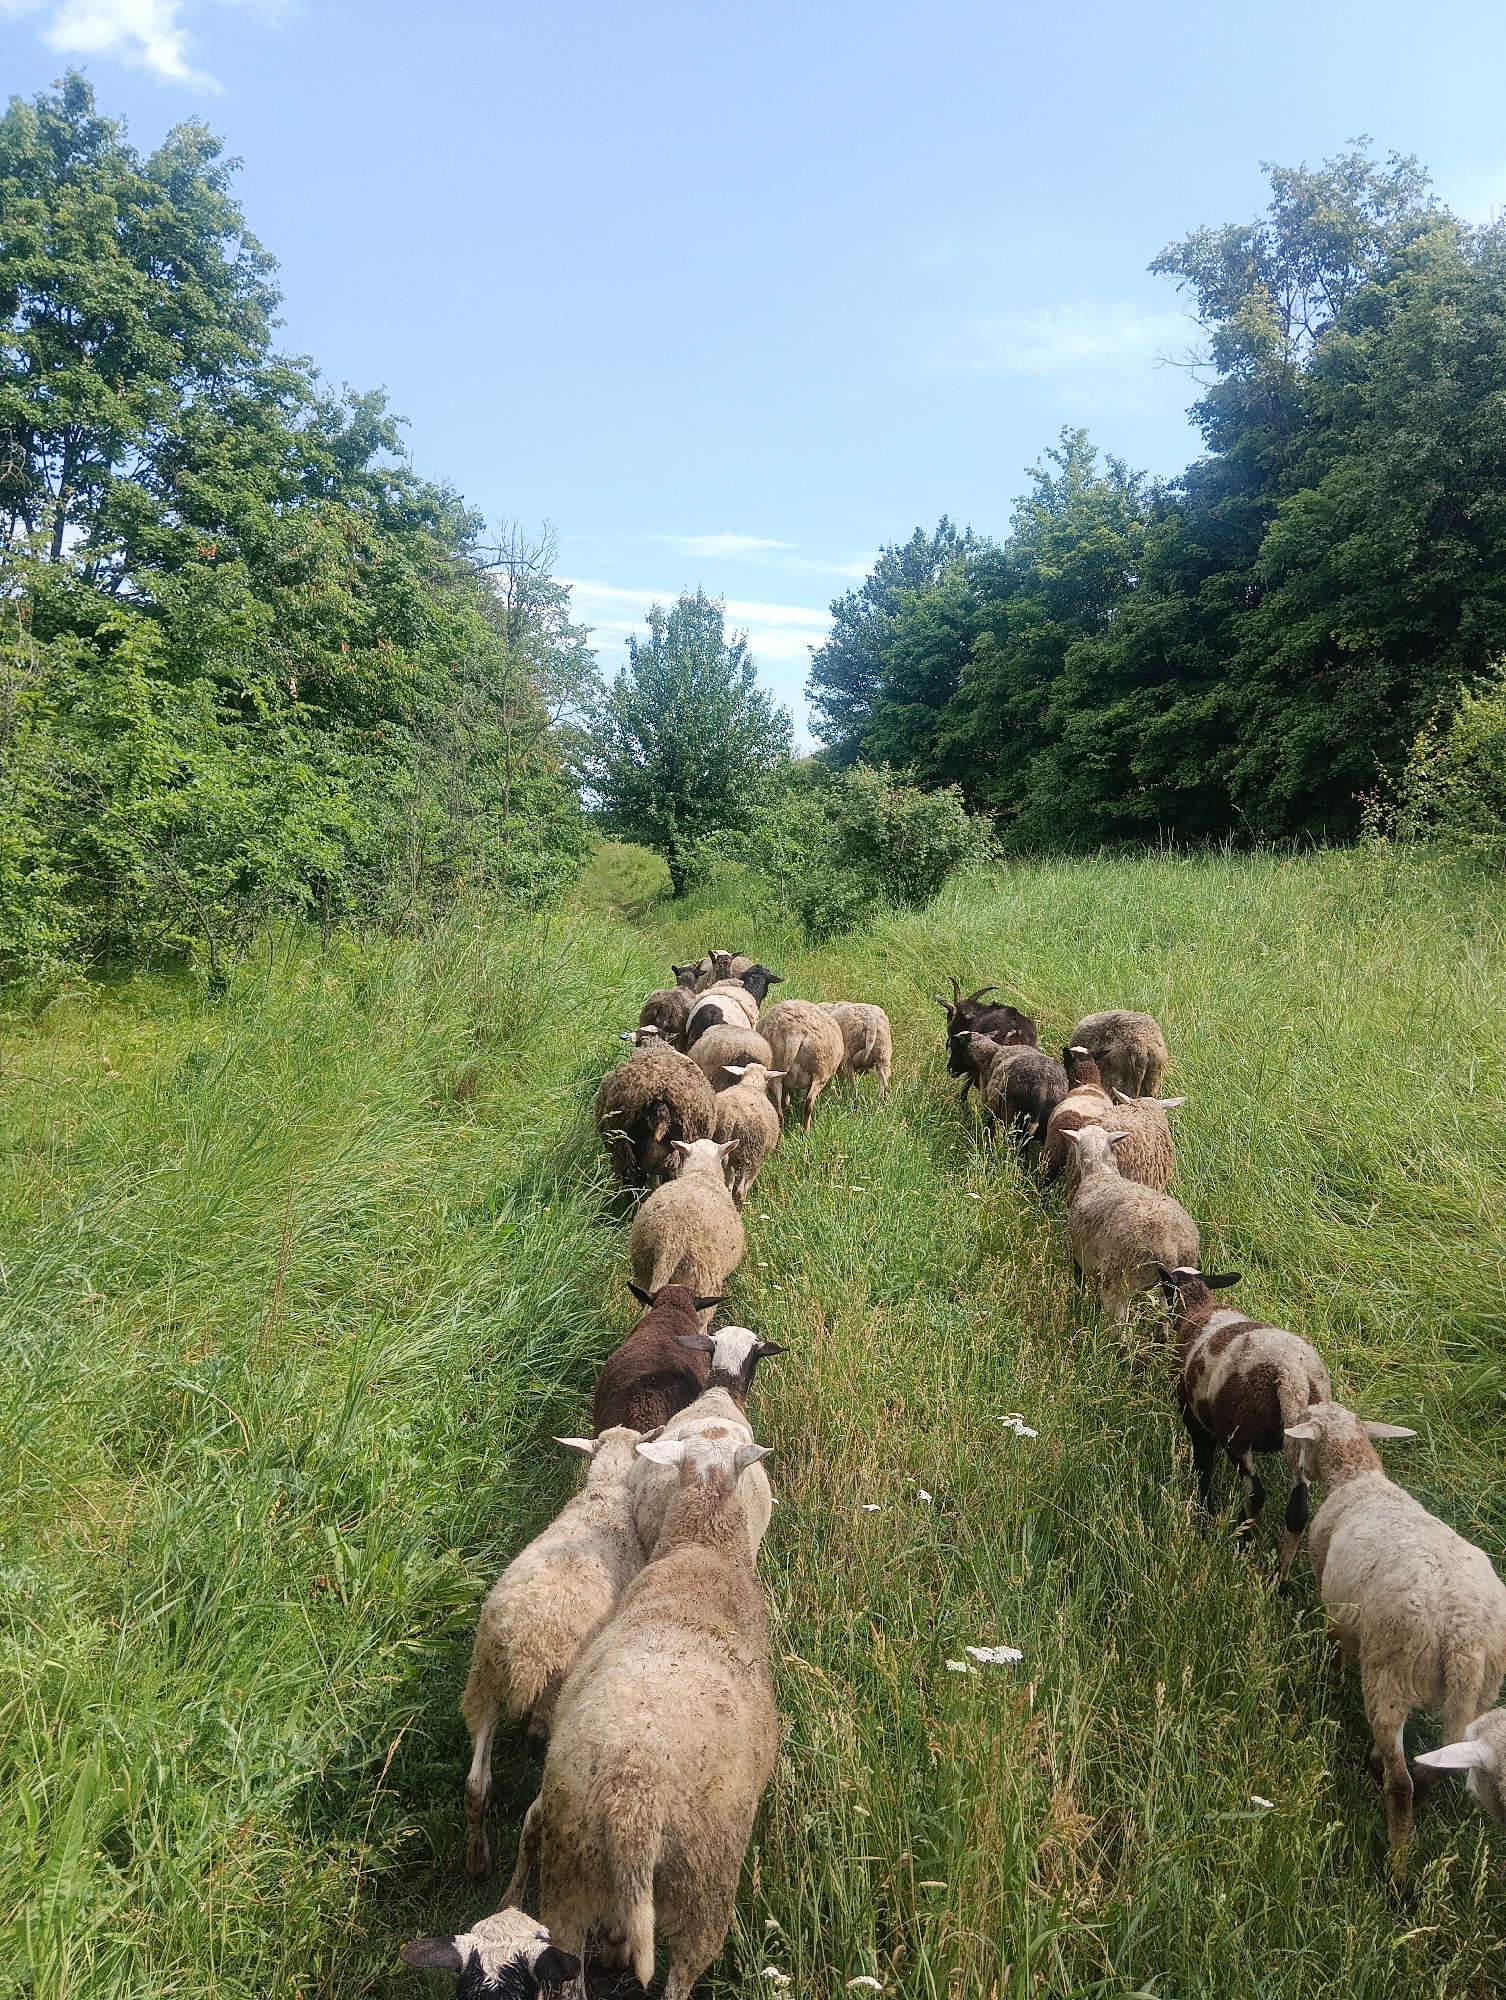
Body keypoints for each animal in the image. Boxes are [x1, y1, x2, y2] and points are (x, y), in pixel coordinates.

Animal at [459, 1429, 647, 1878]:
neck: (605, 1495)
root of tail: (528, 1650)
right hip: (555, 1704)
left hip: (484, 1680)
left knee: (476, 1786)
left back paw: (478, 1861)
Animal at [712, 1062, 785, 1206]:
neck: (752, 1084)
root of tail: (731, 1116)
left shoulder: (732, 1159)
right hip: (753, 1152)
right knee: (742, 1190)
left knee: (728, 1188)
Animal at [757, 998, 846, 1133]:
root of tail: (794, 1033)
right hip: (820, 1072)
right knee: (809, 1102)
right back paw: (806, 1131)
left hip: (775, 1071)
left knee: (778, 1110)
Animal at [1159, 1266, 1332, 1579]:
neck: (1199, 1308)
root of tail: (1291, 1375)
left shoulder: (1196, 1421)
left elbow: (1203, 1469)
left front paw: (1205, 1518)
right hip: (1302, 1439)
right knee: (1298, 1510)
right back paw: (1279, 1580)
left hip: (1237, 1433)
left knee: (1255, 1492)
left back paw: (1240, 1539)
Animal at [1283, 1401, 1506, 1847]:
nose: (1300, 1470)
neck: (1360, 1478)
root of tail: (1465, 1639)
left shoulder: (1328, 1587)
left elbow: (1334, 1641)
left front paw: (1332, 1677)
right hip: (1482, 1693)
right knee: (1436, 1766)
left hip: (1391, 1674)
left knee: (1400, 1782)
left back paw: (1396, 1855)